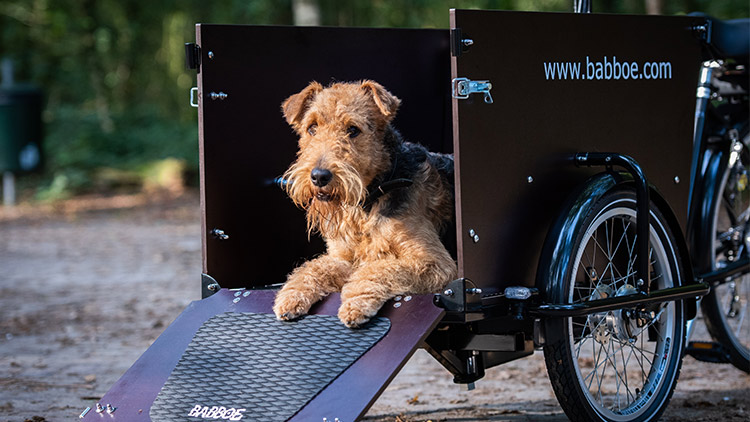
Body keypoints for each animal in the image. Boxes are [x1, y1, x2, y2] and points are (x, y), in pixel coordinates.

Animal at [274, 81, 456, 328]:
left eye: (353, 130)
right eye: (312, 127)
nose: (319, 176)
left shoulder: (436, 263)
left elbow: (378, 269)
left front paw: (355, 303)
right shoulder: (344, 258)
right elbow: (314, 267)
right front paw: (290, 296)